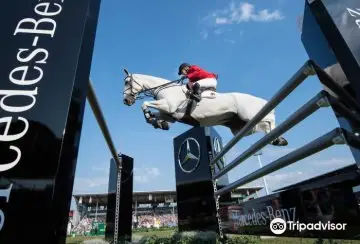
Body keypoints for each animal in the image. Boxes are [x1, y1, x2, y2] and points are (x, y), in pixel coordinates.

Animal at [122, 67, 288, 146]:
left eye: (126, 82)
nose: (126, 101)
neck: (164, 88)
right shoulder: (170, 114)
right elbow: (158, 116)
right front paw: (158, 123)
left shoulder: (168, 106)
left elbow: (144, 104)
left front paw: (150, 117)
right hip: (241, 127)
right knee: (264, 127)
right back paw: (278, 140)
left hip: (248, 115)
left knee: (269, 119)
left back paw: (278, 138)